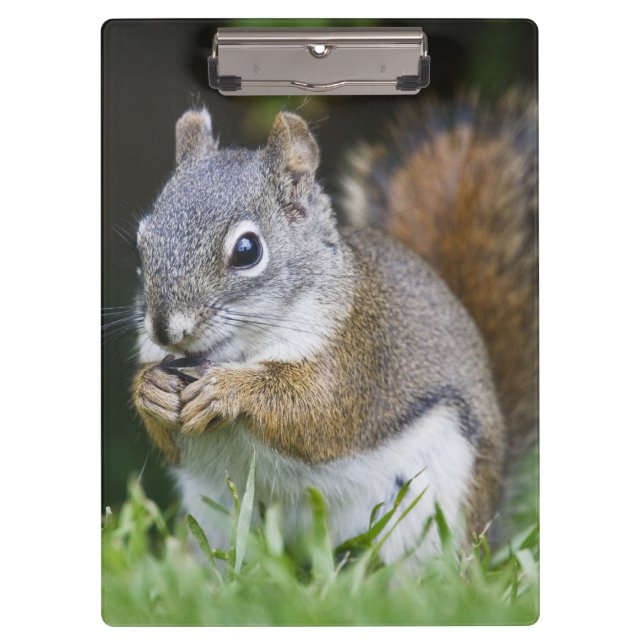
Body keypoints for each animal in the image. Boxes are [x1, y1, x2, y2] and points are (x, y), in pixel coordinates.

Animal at [131, 93, 537, 566]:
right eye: (142, 243)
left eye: (247, 250)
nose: (164, 329)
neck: (239, 351)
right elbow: (170, 442)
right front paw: (151, 391)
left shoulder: (356, 356)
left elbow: (316, 414)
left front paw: (227, 391)